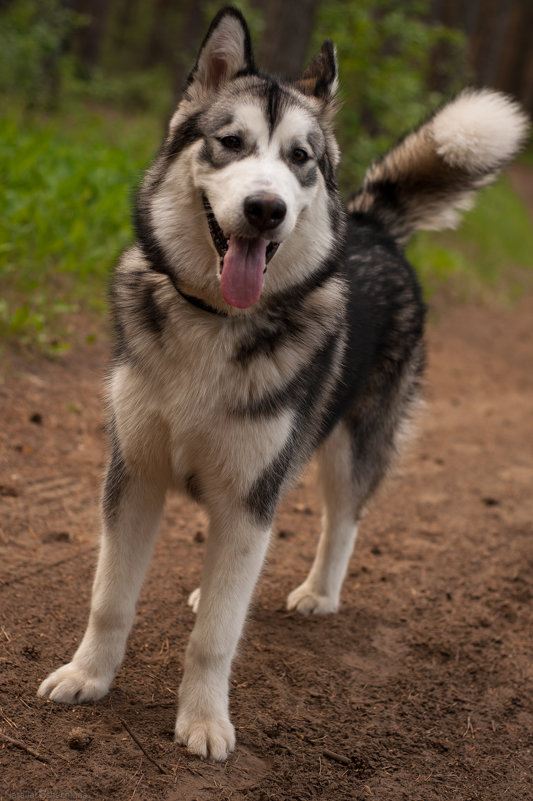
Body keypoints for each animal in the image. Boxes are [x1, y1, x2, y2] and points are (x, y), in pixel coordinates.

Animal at [38, 6, 528, 760]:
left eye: (300, 158)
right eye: (230, 143)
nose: (266, 208)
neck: (215, 323)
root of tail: (368, 224)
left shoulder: (251, 491)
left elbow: (215, 638)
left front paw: (204, 719)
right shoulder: (135, 474)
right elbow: (109, 599)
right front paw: (88, 676)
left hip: (350, 444)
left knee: (342, 518)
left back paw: (318, 591)